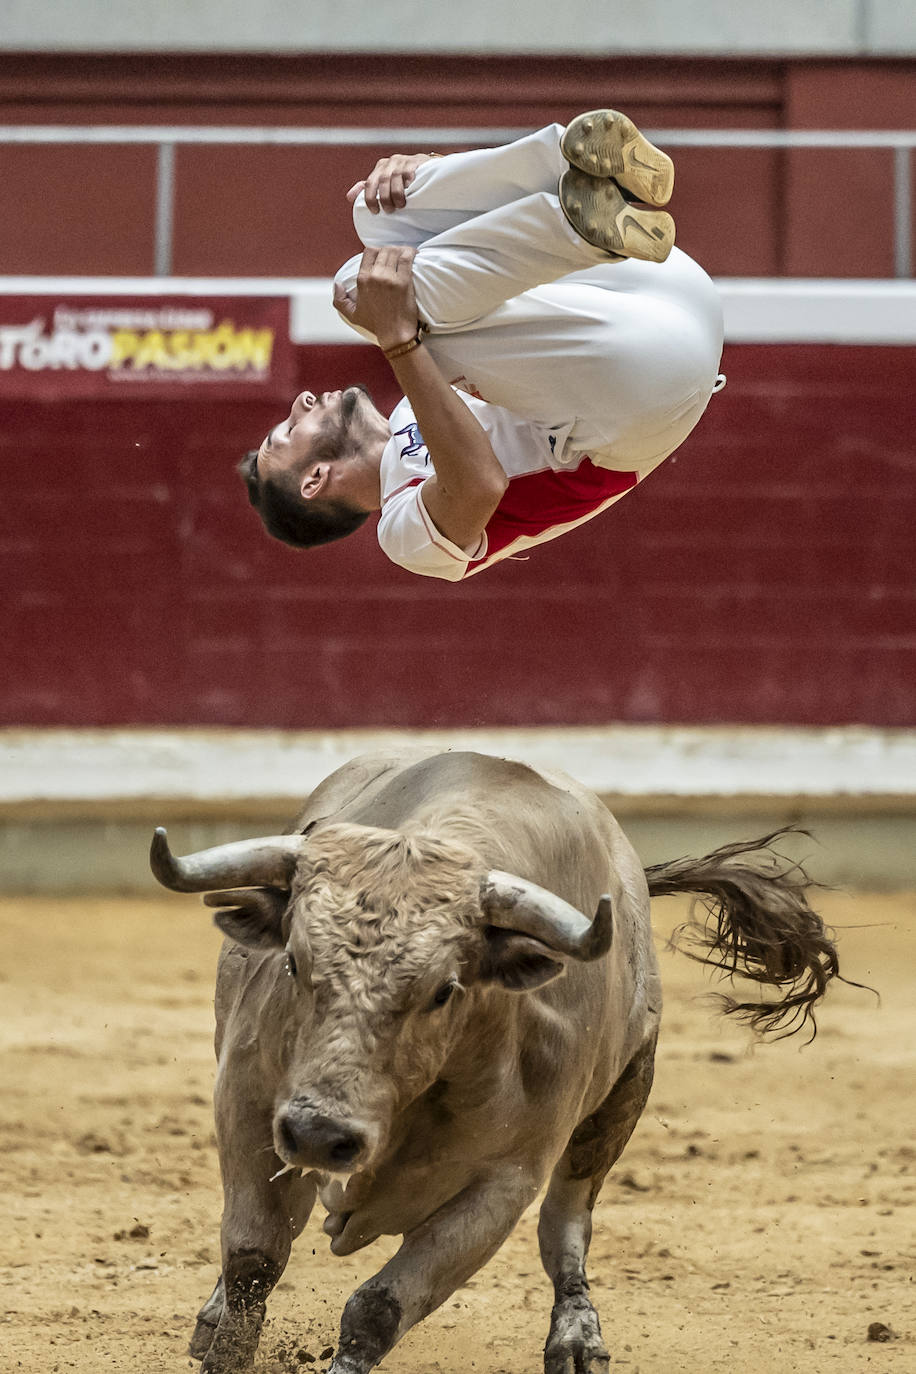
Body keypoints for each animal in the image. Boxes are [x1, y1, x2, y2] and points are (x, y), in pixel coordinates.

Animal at [150, 752, 845, 1374]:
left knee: (567, 1222)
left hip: (622, 1098)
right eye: (294, 962)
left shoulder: (504, 1183)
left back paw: (577, 1341)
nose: (321, 1133)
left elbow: (378, 1309)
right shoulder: (247, 1105)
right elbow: (254, 1262)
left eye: (444, 990)